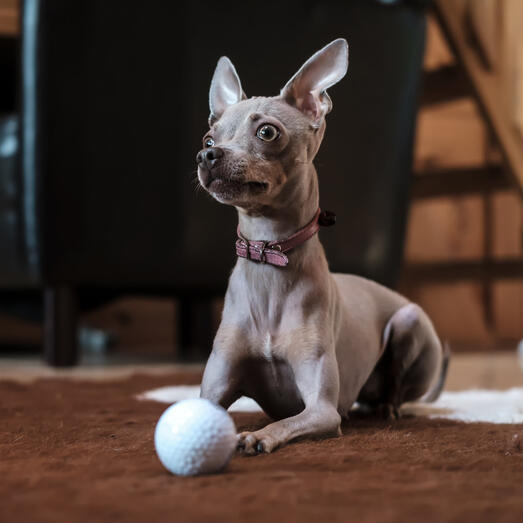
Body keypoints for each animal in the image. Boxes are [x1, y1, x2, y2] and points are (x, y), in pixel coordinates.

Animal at [194, 37, 448, 454]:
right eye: (209, 138)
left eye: (267, 132)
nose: (207, 155)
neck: (267, 255)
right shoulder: (210, 392)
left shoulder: (322, 410)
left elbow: (288, 422)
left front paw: (257, 436)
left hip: (410, 321)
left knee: (393, 390)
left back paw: (387, 409)